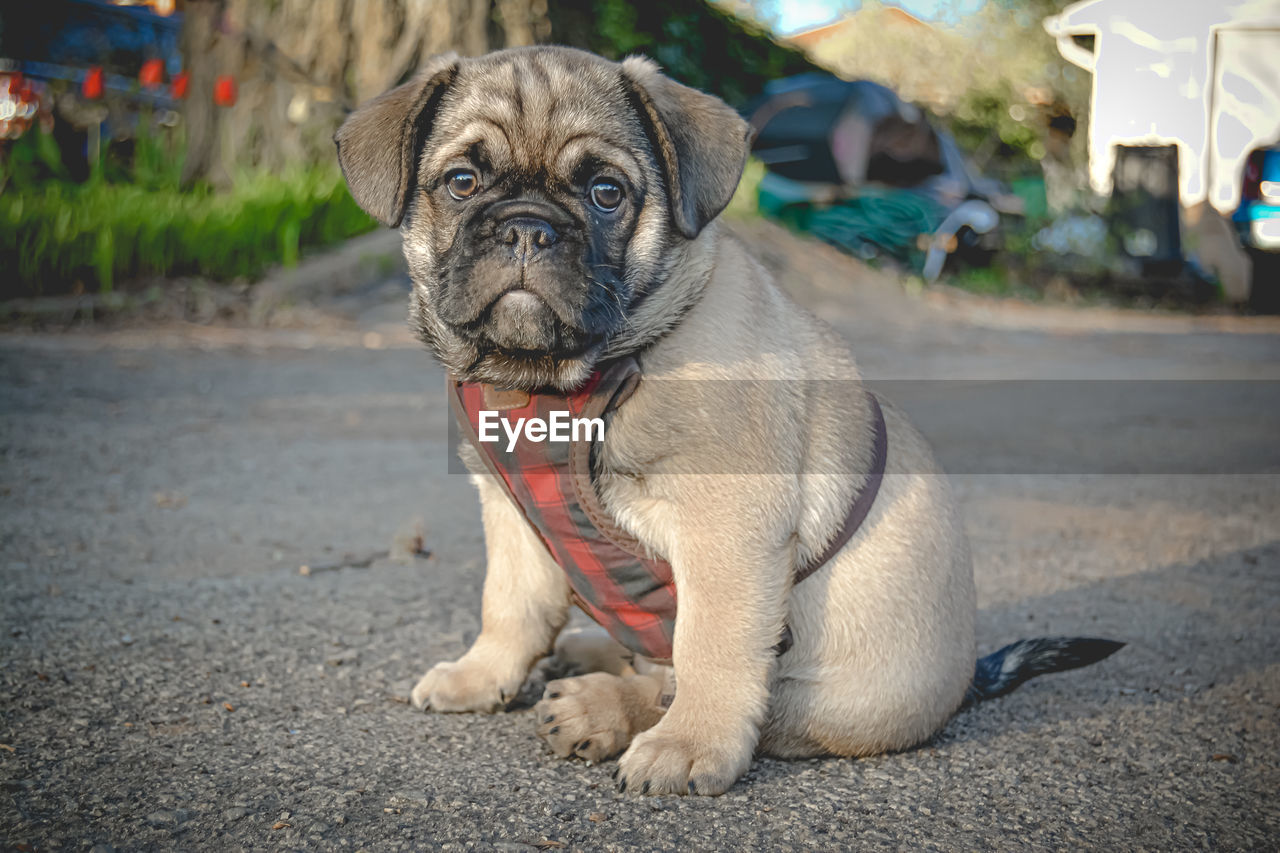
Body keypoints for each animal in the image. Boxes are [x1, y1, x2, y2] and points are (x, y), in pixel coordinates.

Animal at [332, 44, 1121, 788]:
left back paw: (602, 707)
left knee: (726, 694)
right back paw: (585, 655)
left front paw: (687, 745)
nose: (527, 229)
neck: (557, 387)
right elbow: (511, 604)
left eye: (606, 193)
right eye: (461, 183)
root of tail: (966, 680)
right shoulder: (512, 513)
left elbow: (710, 648)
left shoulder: (727, 528)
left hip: (837, 698)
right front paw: (483, 674)